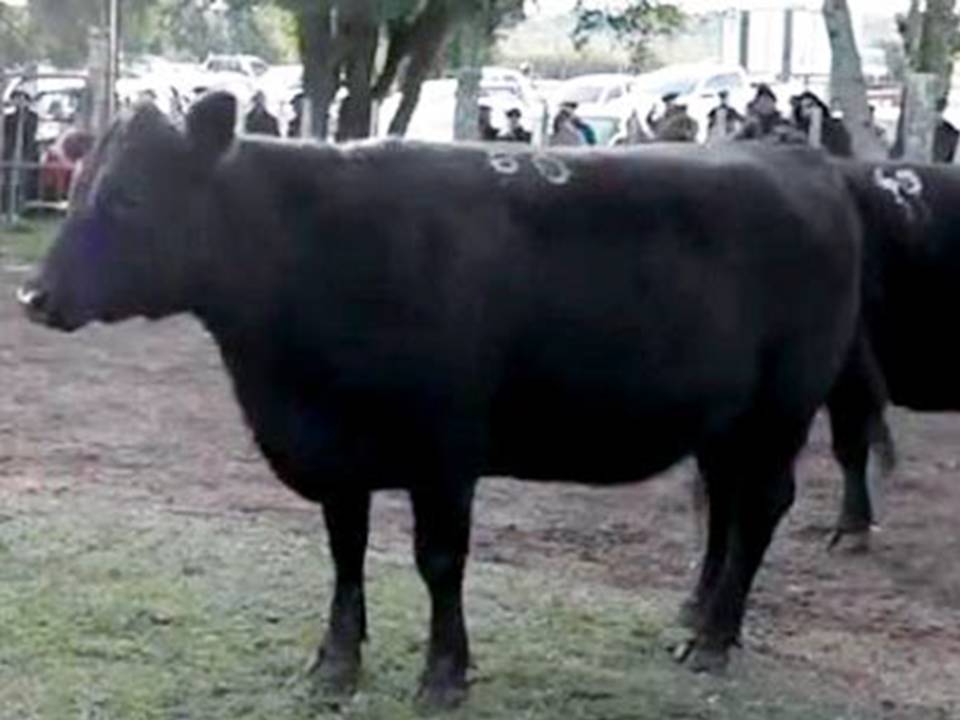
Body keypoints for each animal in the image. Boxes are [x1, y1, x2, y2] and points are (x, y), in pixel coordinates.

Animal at [18, 92, 862, 707]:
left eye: (127, 198)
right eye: (80, 188)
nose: (33, 295)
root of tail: (803, 161)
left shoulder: (445, 449)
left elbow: (439, 559)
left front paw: (443, 674)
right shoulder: (340, 448)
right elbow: (345, 552)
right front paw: (335, 664)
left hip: (780, 409)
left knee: (761, 506)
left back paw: (713, 639)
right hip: (726, 421)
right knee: (724, 504)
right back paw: (699, 614)